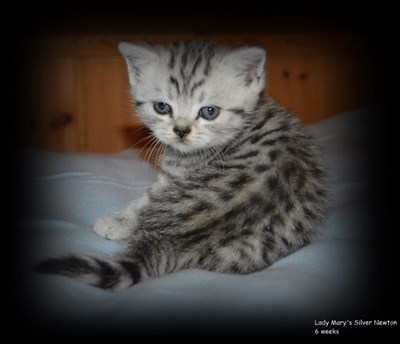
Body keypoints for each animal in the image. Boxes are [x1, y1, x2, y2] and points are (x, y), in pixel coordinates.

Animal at [36, 41, 326, 292]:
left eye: (209, 111)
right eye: (162, 107)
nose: (181, 131)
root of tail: (169, 239)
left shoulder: (173, 178)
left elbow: (143, 201)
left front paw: (116, 221)